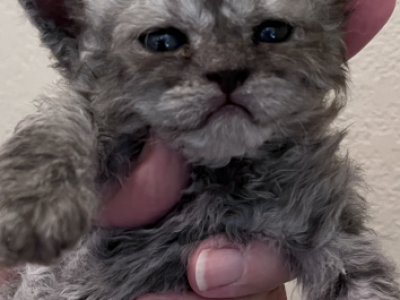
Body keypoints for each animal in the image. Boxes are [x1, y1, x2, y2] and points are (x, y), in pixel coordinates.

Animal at [0, 0, 400, 298]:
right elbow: (69, 119)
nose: (228, 72)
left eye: (273, 33)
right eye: (162, 41)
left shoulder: (328, 227)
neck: (216, 171)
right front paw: (34, 203)